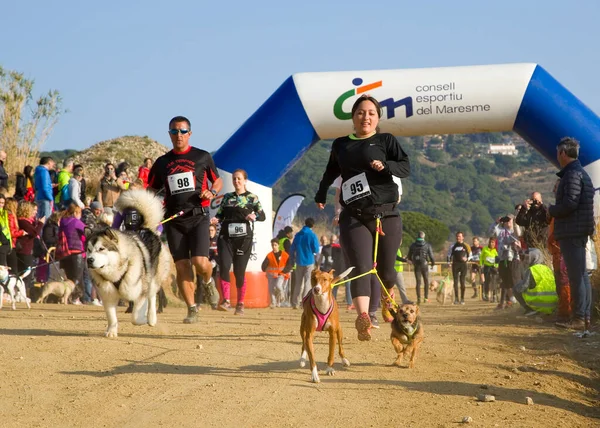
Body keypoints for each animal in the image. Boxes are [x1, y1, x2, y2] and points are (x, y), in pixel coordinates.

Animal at [86, 191, 171, 338]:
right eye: (89, 250)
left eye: (101, 249)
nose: (89, 260)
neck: (117, 272)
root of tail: (146, 229)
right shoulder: (108, 295)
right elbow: (111, 317)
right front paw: (111, 331)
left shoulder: (139, 292)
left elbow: (135, 317)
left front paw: (142, 319)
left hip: (153, 278)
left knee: (152, 296)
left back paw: (151, 318)